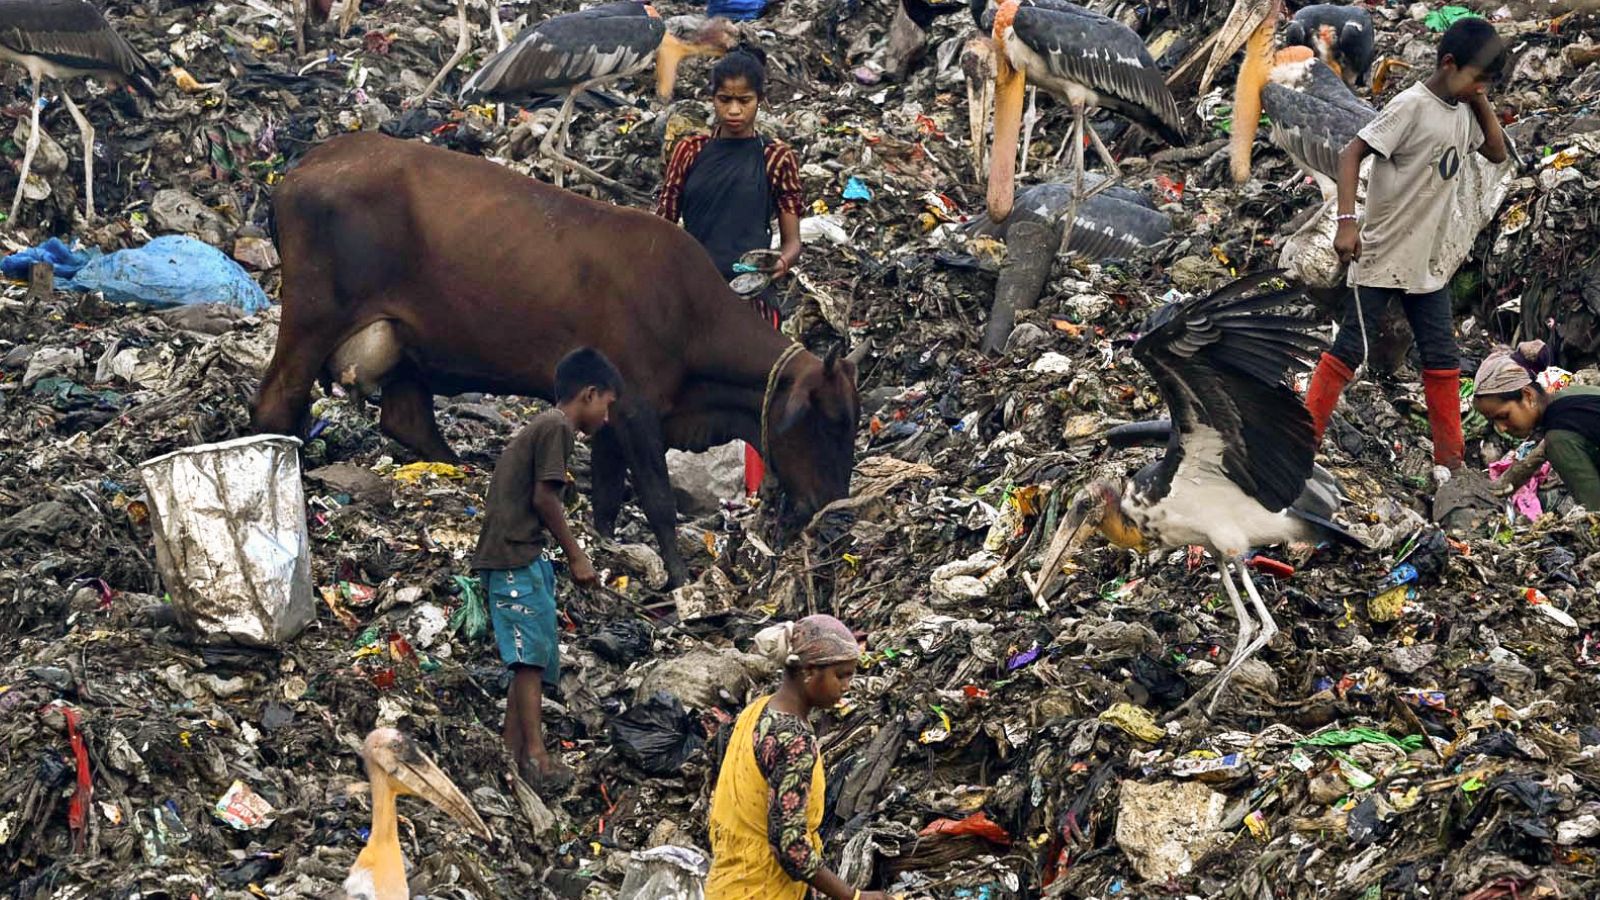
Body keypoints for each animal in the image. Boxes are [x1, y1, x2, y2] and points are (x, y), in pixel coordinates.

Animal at [252, 132, 861, 587]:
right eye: (830, 422)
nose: (835, 510)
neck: (689, 314)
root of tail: (303, 168)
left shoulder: (613, 417)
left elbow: (610, 497)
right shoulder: (636, 406)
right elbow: (657, 499)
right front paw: (680, 578)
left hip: (404, 343)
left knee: (406, 418)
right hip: (312, 318)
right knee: (276, 405)